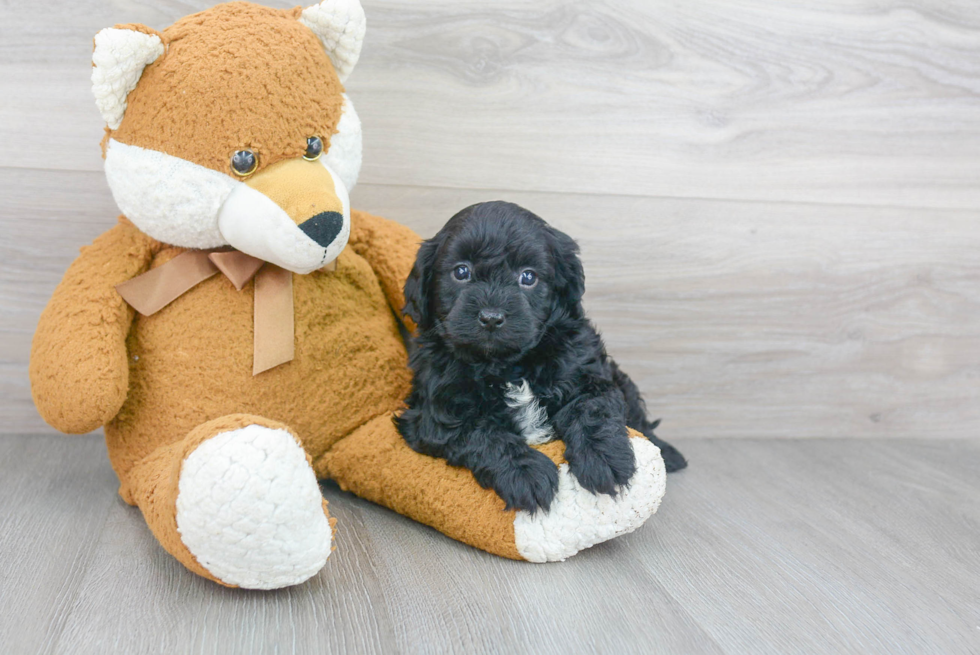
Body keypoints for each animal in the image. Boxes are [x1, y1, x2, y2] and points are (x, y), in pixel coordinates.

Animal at [394, 200, 684, 512]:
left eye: (528, 277)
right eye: (461, 272)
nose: (491, 317)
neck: (507, 365)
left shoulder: (585, 372)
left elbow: (591, 408)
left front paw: (604, 460)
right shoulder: (434, 414)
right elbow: (481, 432)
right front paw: (525, 473)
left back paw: (668, 453)